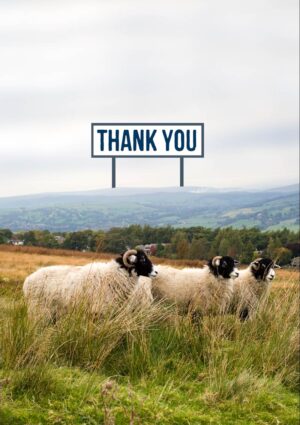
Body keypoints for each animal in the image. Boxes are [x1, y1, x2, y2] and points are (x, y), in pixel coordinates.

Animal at [23, 247, 158, 320]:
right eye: (142, 260)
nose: (156, 272)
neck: (114, 276)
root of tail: (27, 280)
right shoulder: (98, 311)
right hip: (38, 309)